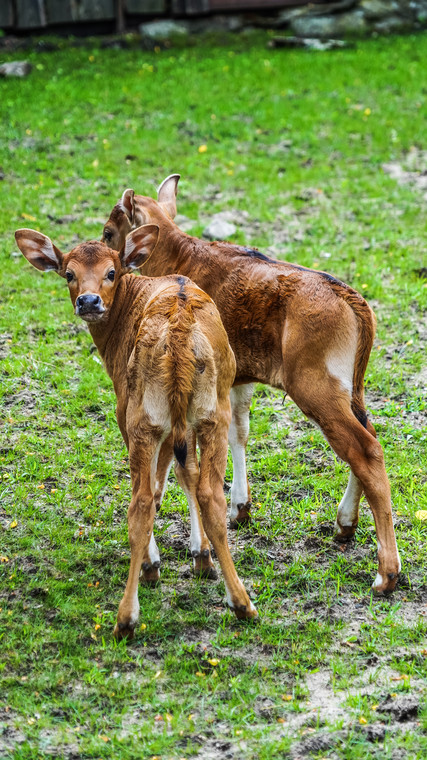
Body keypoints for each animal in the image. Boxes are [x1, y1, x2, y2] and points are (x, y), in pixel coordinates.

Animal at [15, 224, 258, 636]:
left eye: (112, 272)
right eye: (68, 273)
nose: (89, 301)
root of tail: (178, 333)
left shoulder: (127, 407)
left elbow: (159, 486)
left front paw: (157, 560)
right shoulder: (182, 423)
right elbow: (187, 474)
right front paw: (201, 557)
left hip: (141, 415)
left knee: (141, 501)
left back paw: (127, 615)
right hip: (213, 412)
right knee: (211, 494)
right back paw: (241, 602)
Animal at [102, 177, 402, 592]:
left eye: (108, 233)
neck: (178, 258)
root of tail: (351, 297)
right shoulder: (236, 381)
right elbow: (239, 432)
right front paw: (240, 508)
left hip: (316, 390)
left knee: (367, 450)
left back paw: (386, 572)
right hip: (350, 392)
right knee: (369, 435)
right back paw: (344, 523)